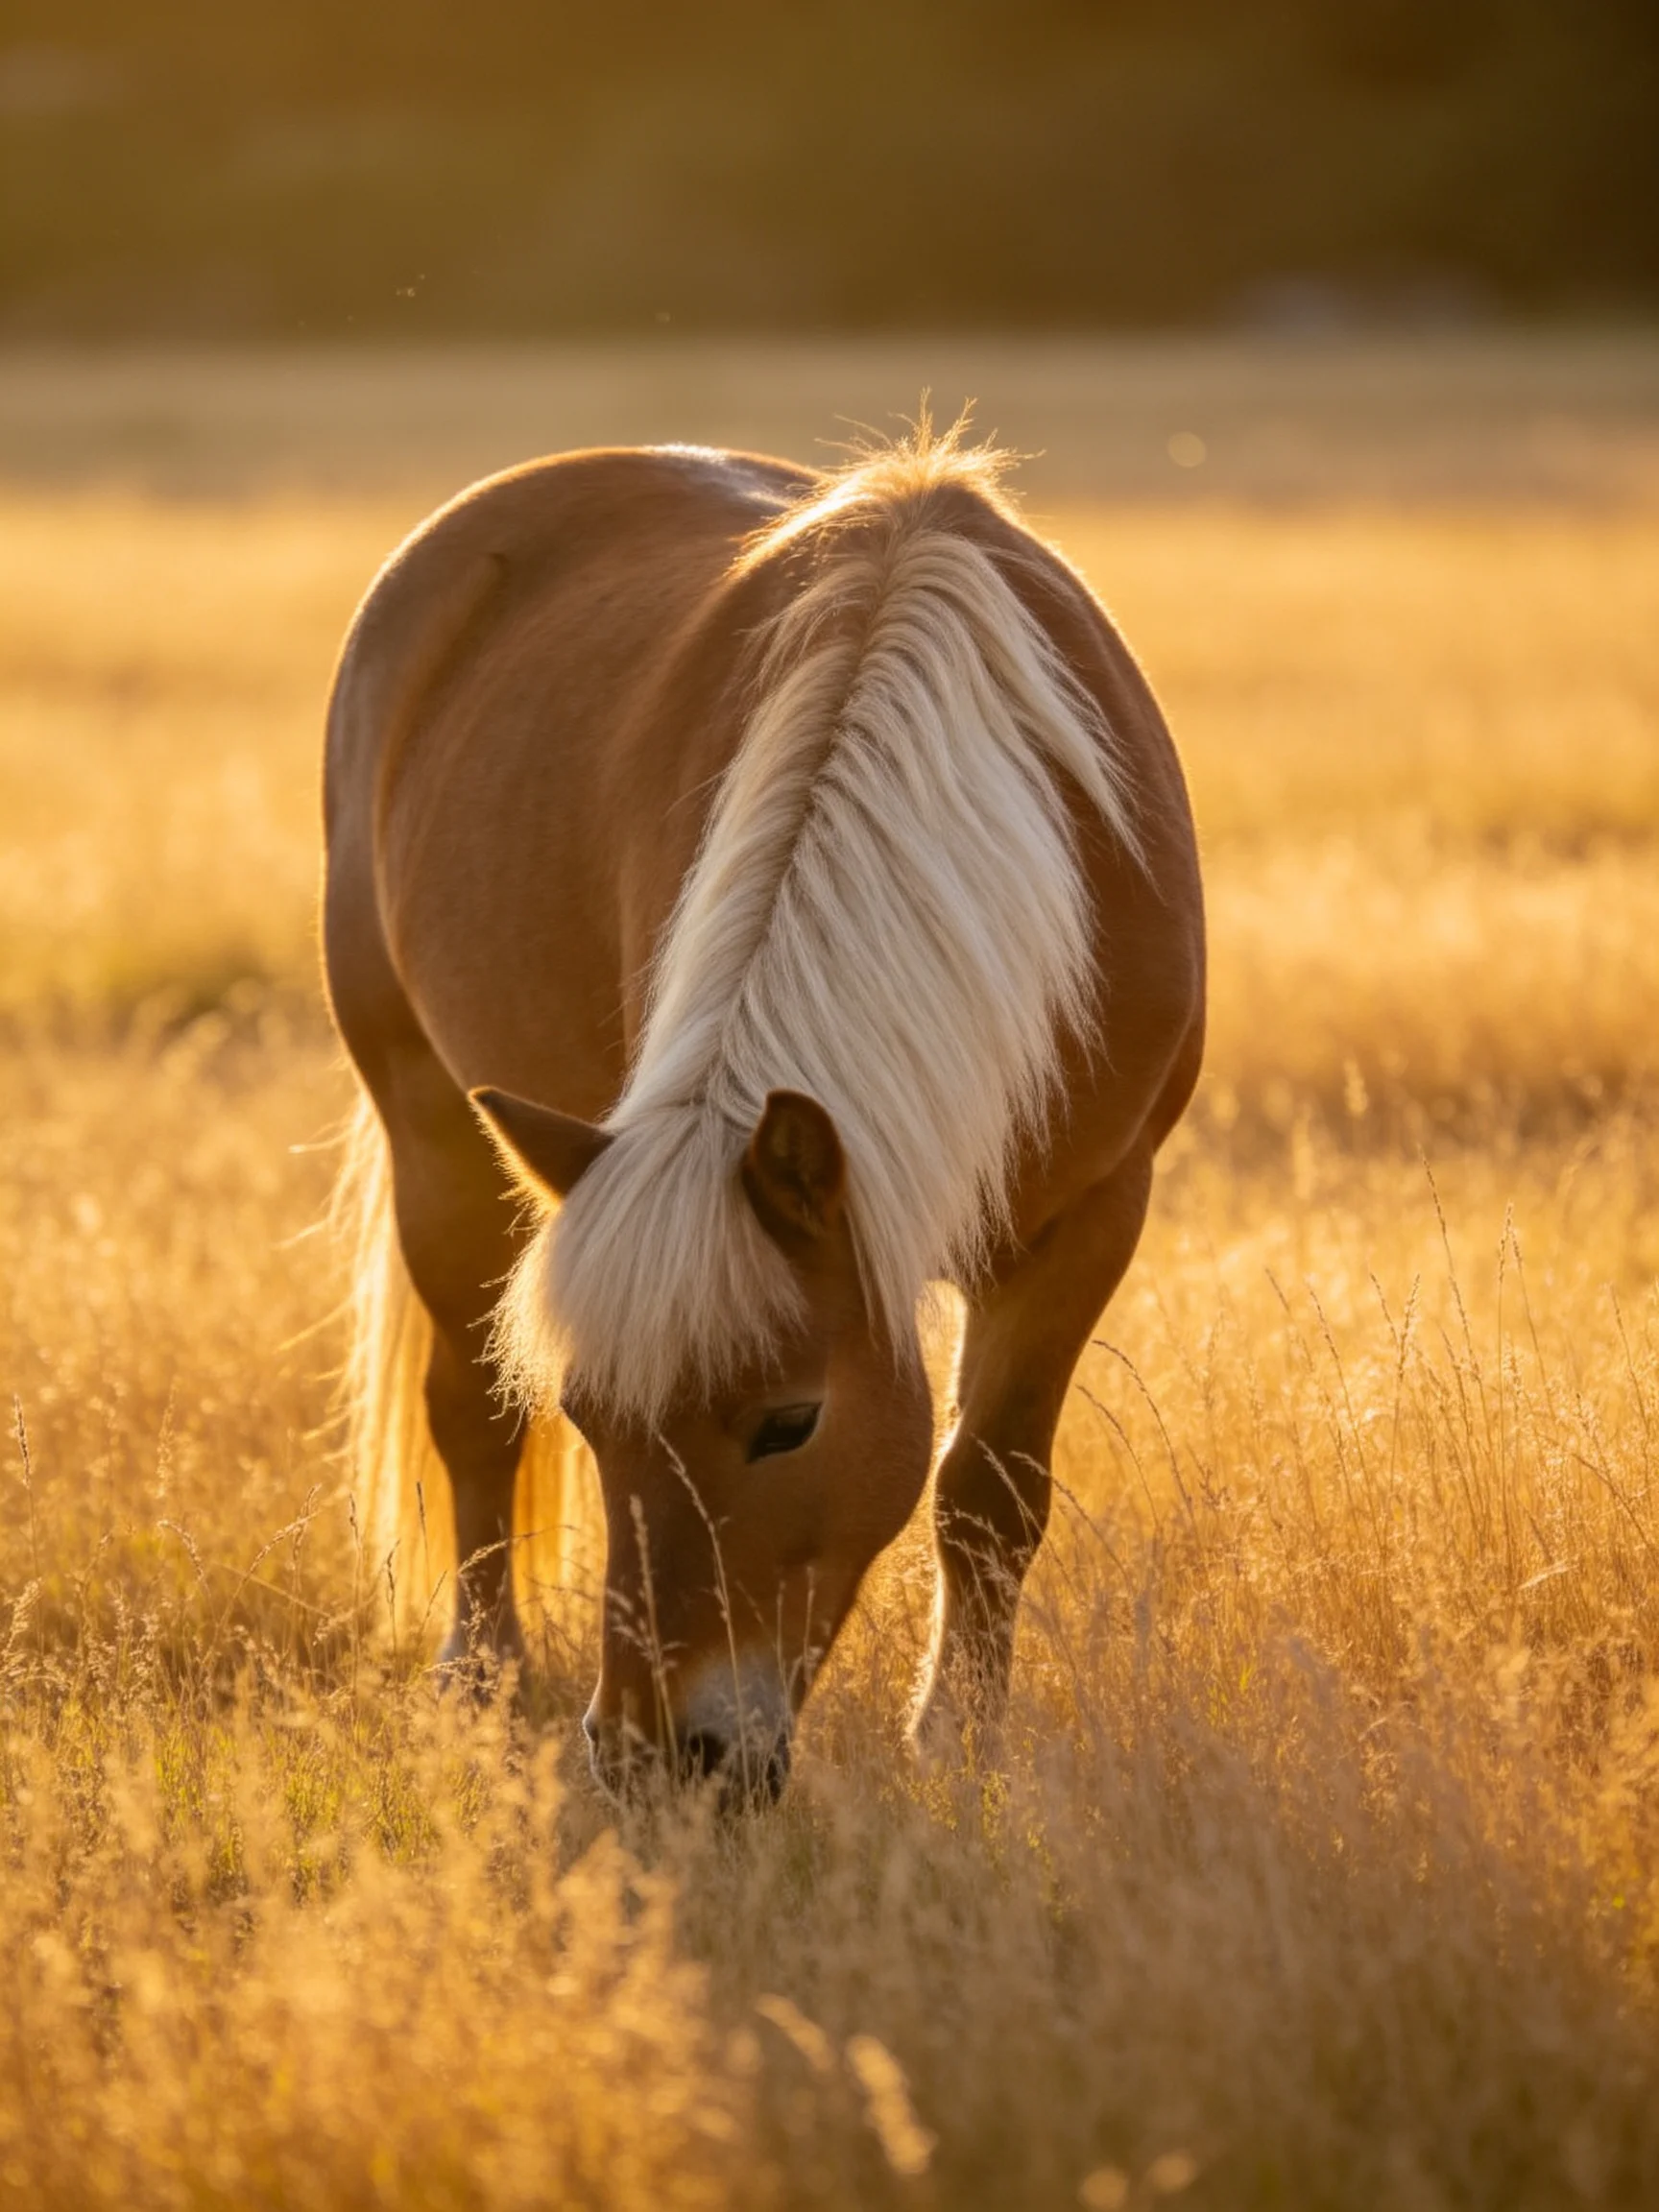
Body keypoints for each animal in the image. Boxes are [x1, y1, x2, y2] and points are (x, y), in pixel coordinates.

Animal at [323, 423, 1204, 1803]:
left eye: (789, 1425)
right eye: (596, 1418)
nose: (655, 1755)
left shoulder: (1092, 1216)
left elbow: (990, 1492)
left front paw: (958, 1745)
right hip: (430, 1124)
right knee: (470, 1413)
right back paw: (481, 1680)